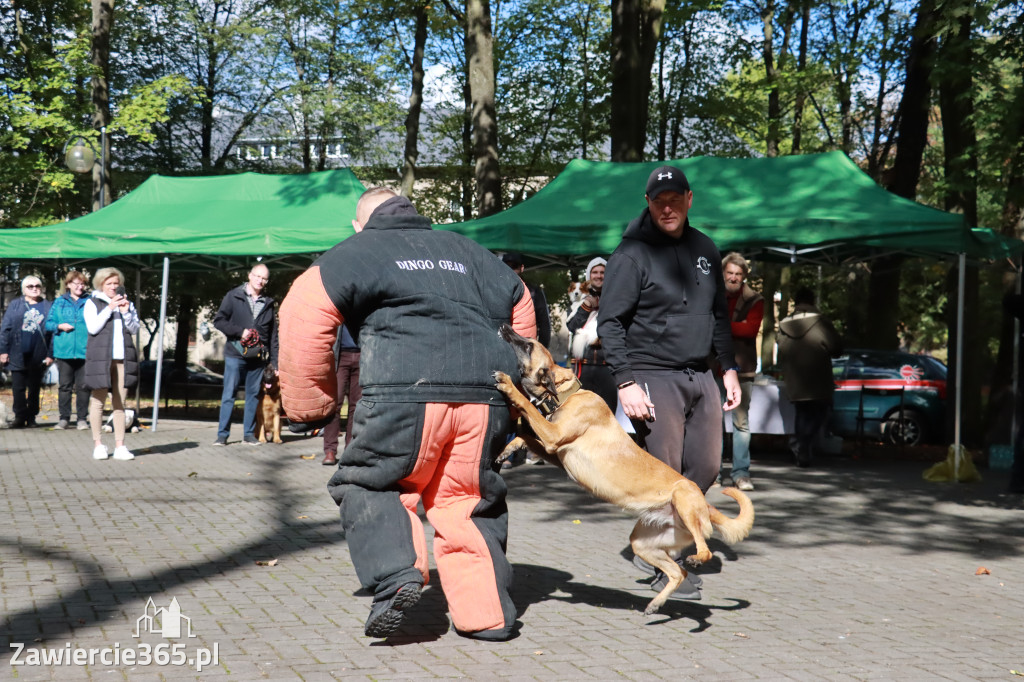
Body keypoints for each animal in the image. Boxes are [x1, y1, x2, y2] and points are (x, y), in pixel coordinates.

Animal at [491, 323, 757, 614]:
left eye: (528, 345)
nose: (505, 327)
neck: (566, 394)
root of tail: (705, 505)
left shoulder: (552, 436)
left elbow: (527, 407)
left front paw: (508, 385)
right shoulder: (554, 451)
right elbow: (525, 434)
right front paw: (507, 448)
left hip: (683, 500)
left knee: (704, 551)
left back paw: (695, 561)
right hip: (644, 544)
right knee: (678, 573)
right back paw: (656, 604)